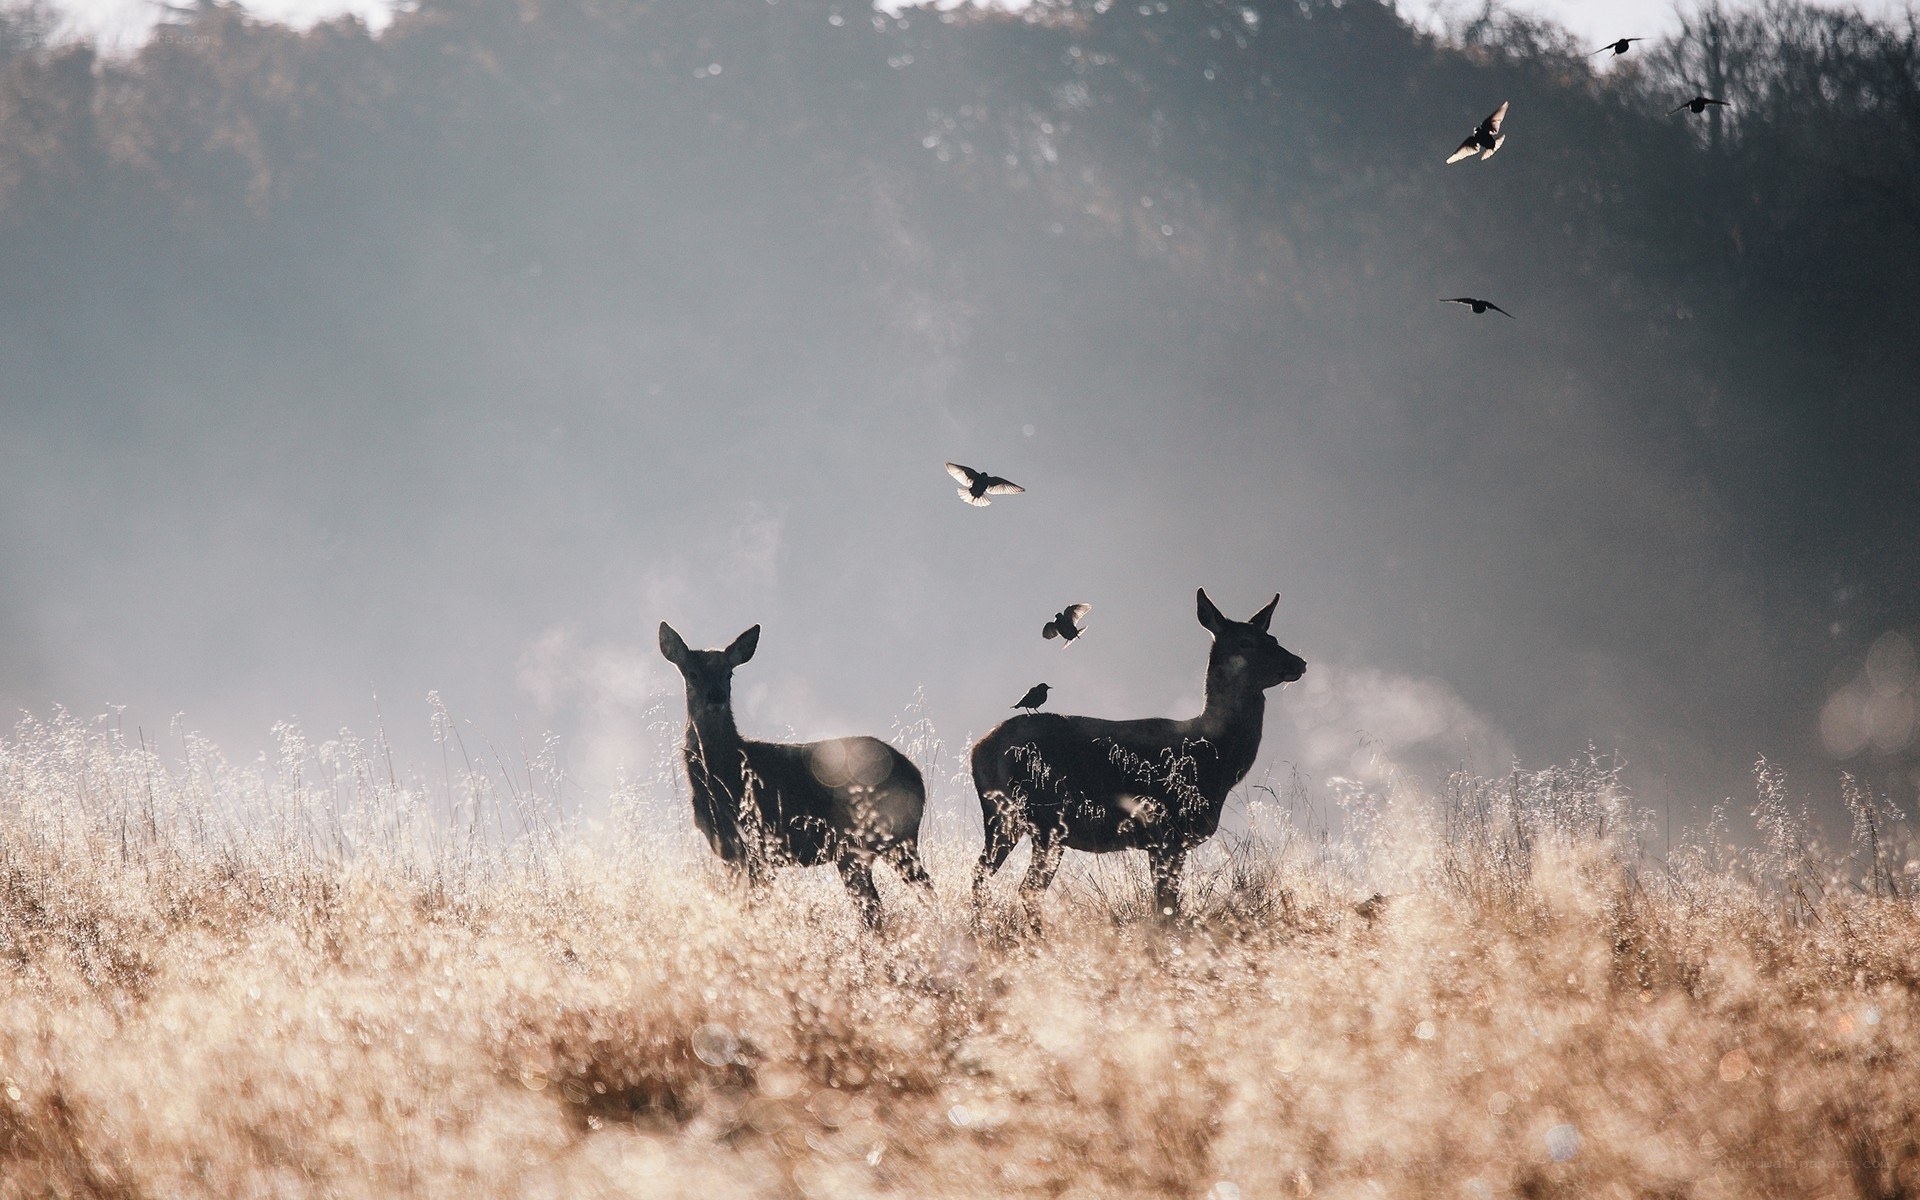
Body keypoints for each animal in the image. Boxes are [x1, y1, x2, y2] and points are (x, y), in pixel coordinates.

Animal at [659, 622, 933, 927]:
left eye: (728, 673)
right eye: (692, 673)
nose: (716, 696)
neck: (723, 773)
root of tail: (916, 777)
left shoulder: (760, 843)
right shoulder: (729, 849)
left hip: (875, 839)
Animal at [970, 589, 1306, 928]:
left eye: (1273, 637)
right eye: (1246, 642)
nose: (1298, 662)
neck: (1215, 759)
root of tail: (979, 749)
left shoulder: (1161, 839)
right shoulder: (1169, 830)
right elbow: (1167, 906)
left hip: (1008, 818)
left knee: (984, 873)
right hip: (1041, 817)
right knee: (1023, 886)